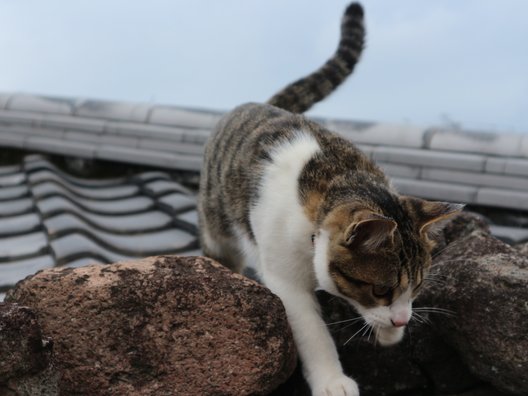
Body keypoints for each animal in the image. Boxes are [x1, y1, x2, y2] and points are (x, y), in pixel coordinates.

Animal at [198, 3, 462, 396]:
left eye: (416, 287)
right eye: (381, 289)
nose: (402, 322)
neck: (334, 180)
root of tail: (260, 105)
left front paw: (387, 333)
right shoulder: (285, 281)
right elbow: (313, 333)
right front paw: (332, 381)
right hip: (217, 231)